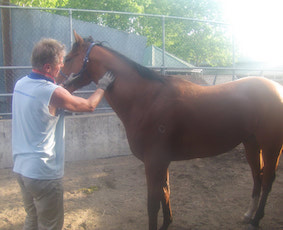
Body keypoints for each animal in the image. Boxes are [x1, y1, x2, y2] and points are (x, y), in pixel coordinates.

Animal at [59, 31, 282, 230]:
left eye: (68, 59)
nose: (60, 85)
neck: (146, 99)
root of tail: (276, 88)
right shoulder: (161, 162)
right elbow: (165, 193)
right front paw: (167, 223)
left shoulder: (154, 162)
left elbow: (152, 204)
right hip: (251, 143)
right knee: (258, 176)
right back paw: (249, 214)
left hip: (271, 147)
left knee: (268, 179)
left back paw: (256, 220)